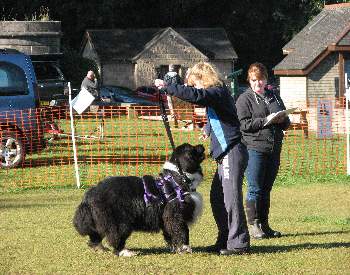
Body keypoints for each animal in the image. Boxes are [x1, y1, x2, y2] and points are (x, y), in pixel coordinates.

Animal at [74, 143, 205, 258]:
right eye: (193, 148)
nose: (202, 145)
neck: (178, 177)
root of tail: (91, 193)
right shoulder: (175, 215)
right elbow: (182, 231)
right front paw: (185, 248)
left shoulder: (166, 218)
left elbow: (170, 233)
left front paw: (176, 248)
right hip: (119, 222)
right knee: (116, 237)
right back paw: (124, 252)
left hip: (99, 220)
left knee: (95, 236)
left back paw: (99, 248)